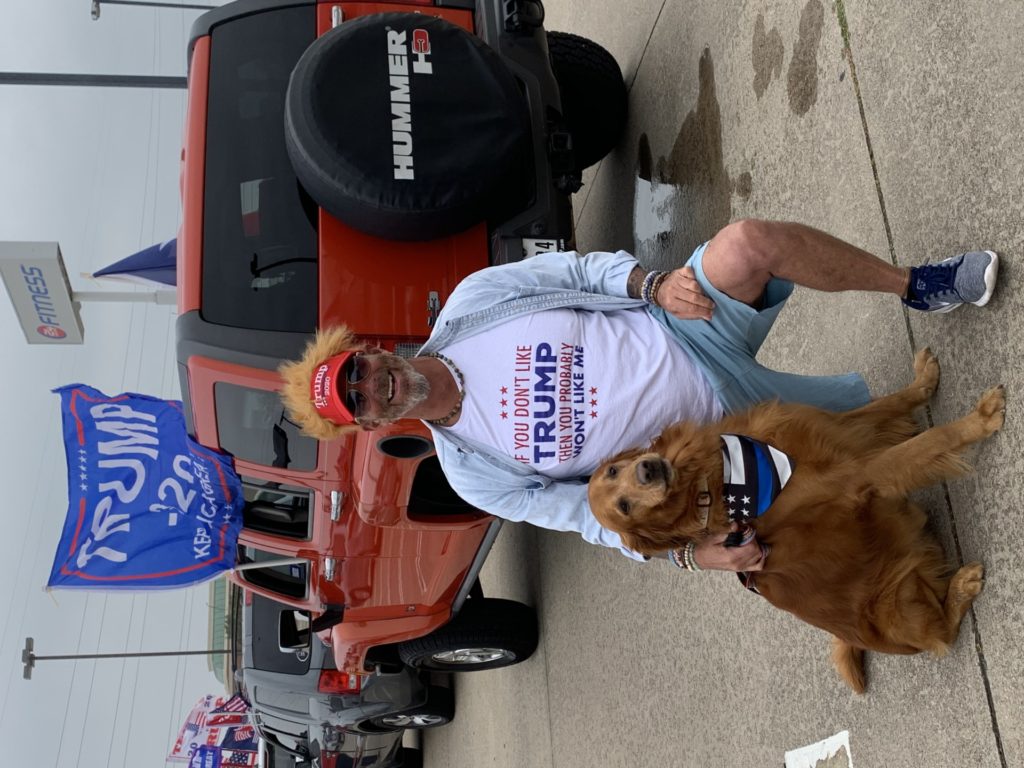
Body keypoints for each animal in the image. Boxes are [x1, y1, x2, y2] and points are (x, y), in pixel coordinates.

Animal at [589, 352, 1003, 696]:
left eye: (613, 471)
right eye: (624, 507)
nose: (647, 470)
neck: (711, 479)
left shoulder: (840, 430)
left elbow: (890, 402)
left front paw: (924, 380)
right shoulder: (858, 476)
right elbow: (931, 440)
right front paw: (979, 420)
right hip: (897, 602)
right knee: (942, 634)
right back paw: (963, 584)